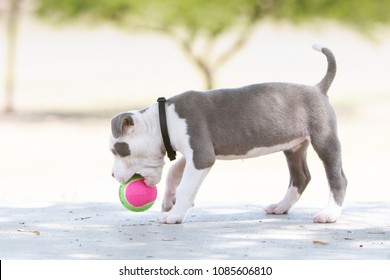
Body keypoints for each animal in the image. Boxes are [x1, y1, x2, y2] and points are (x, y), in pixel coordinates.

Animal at [109, 46, 348, 225]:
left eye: (117, 151)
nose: (112, 175)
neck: (162, 120)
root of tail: (318, 88)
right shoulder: (195, 152)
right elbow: (174, 171)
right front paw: (169, 199)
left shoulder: (202, 156)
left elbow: (186, 187)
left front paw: (174, 215)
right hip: (294, 146)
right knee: (301, 177)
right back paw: (281, 206)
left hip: (324, 138)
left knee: (338, 178)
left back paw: (329, 214)